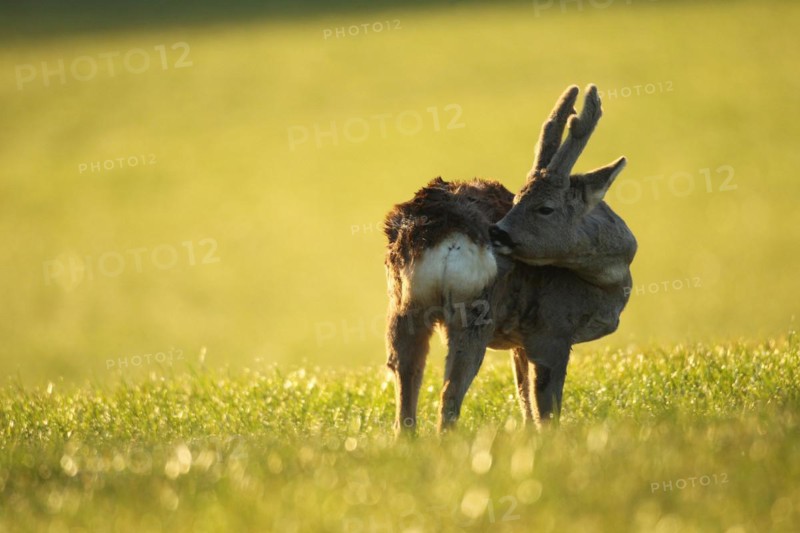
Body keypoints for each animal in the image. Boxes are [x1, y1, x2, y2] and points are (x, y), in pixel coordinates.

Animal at [382, 84, 637, 435]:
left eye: (543, 207)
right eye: (519, 200)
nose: (498, 233)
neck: (607, 281)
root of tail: (440, 229)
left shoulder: (520, 339)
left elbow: (523, 398)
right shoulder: (551, 331)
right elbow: (546, 408)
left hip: (403, 304)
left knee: (404, 384)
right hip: (474, 311)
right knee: (449, 395)